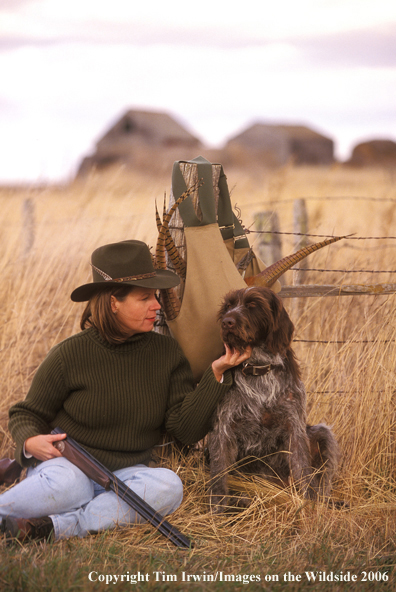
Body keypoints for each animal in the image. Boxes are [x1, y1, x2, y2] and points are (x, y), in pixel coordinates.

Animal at [207, 286, 340, 512]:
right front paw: (216, 511)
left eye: (253, 305)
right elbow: (219, 473)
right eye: (228, 306)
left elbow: (303, 470)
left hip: (322, 433)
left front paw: (308, 506)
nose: (227, 321)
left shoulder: (295, 426)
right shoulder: (223, 428)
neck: (259, 369)